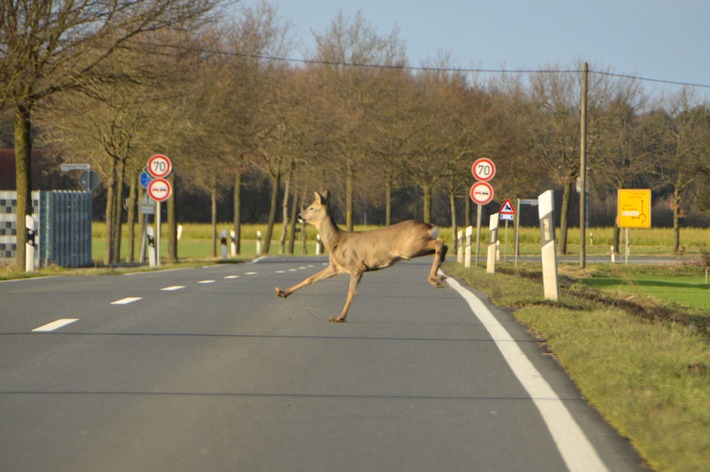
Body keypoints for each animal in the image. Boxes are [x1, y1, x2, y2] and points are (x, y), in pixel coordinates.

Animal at [276, 190, 448, 322]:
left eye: (311, 207)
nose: (299, 216)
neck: (336, 241)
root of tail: (431, 226)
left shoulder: (356, 266)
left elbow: (351, 291)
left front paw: (340, 317)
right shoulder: (336, 267)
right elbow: (310, 278)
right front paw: (282, 292)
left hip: (409, 248)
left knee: (440, 242)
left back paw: (434, 279)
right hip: (415, 248)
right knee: (441, 246)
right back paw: (438, 277)